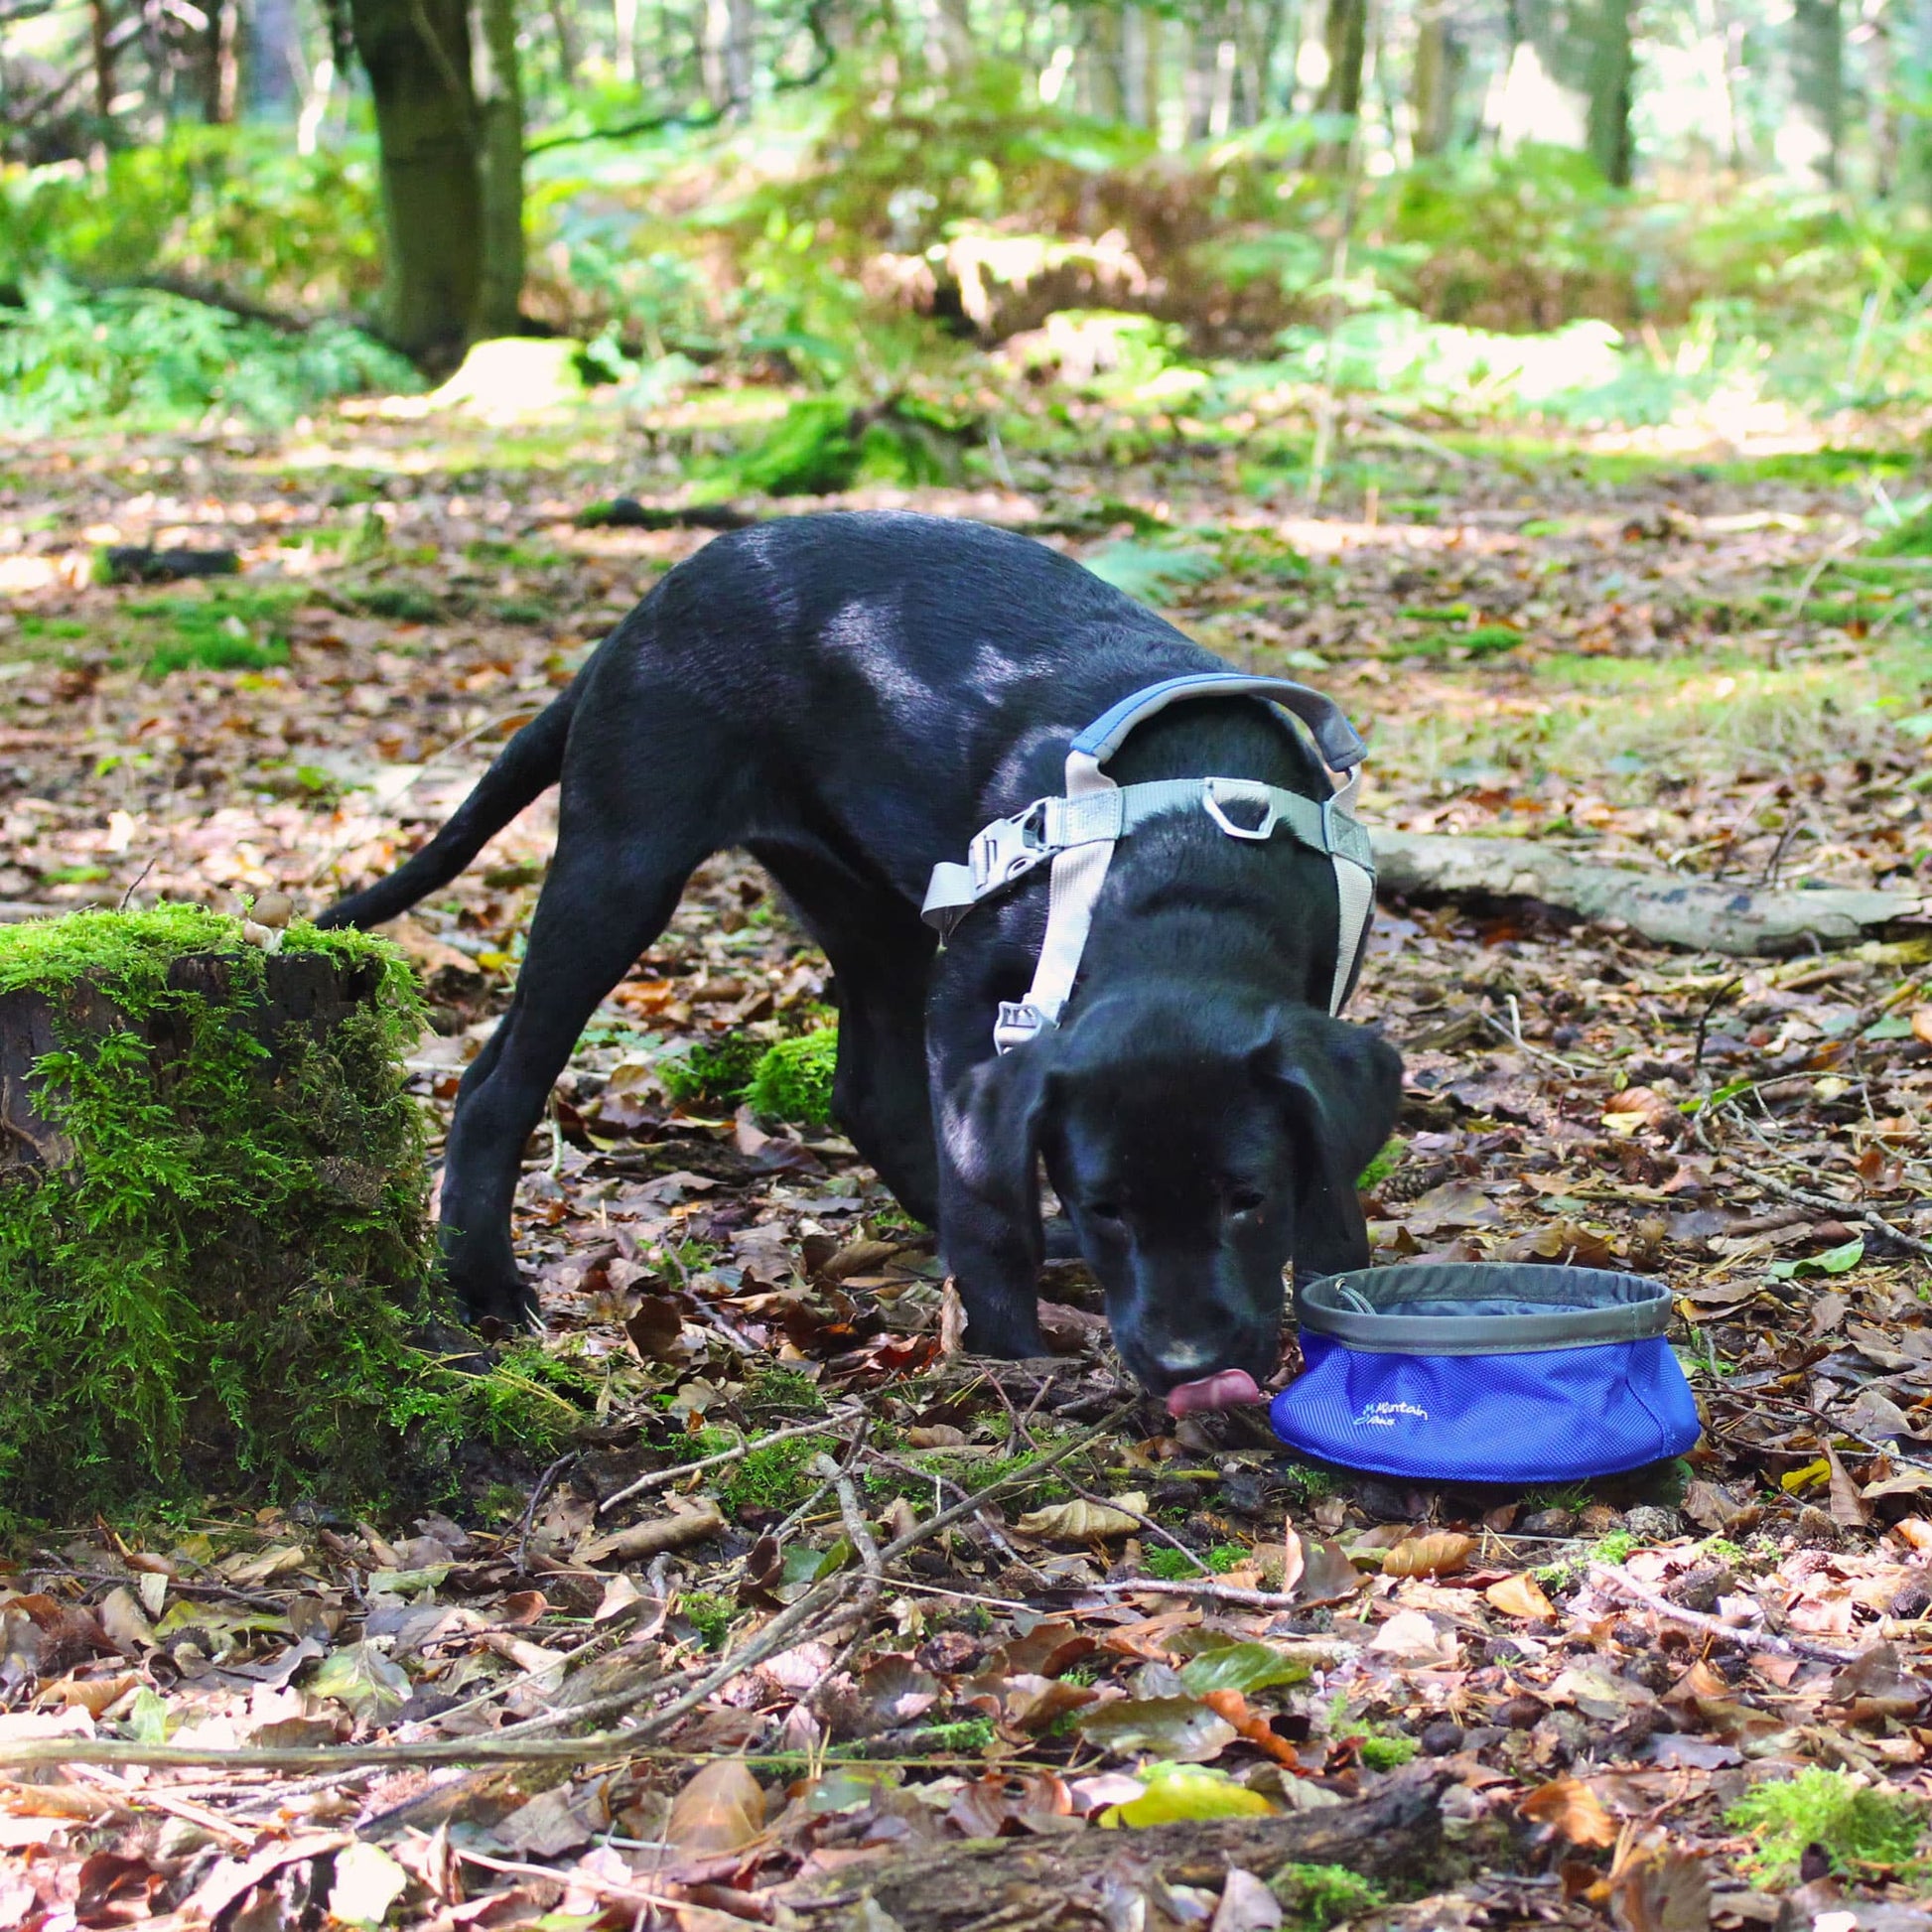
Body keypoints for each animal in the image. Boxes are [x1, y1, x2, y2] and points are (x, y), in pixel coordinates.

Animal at [321, 505, 1406, 1398]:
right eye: (1107, 1208)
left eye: (1247, 1200)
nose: (1187, 1365)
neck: (1192, 859)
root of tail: (643, 613)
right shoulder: (972, 992)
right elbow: (984, 1201)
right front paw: (1012, 1356)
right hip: (622, 863)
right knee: (497, 1080)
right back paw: (485, 1283)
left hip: (867, 907)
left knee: (869, 1096)